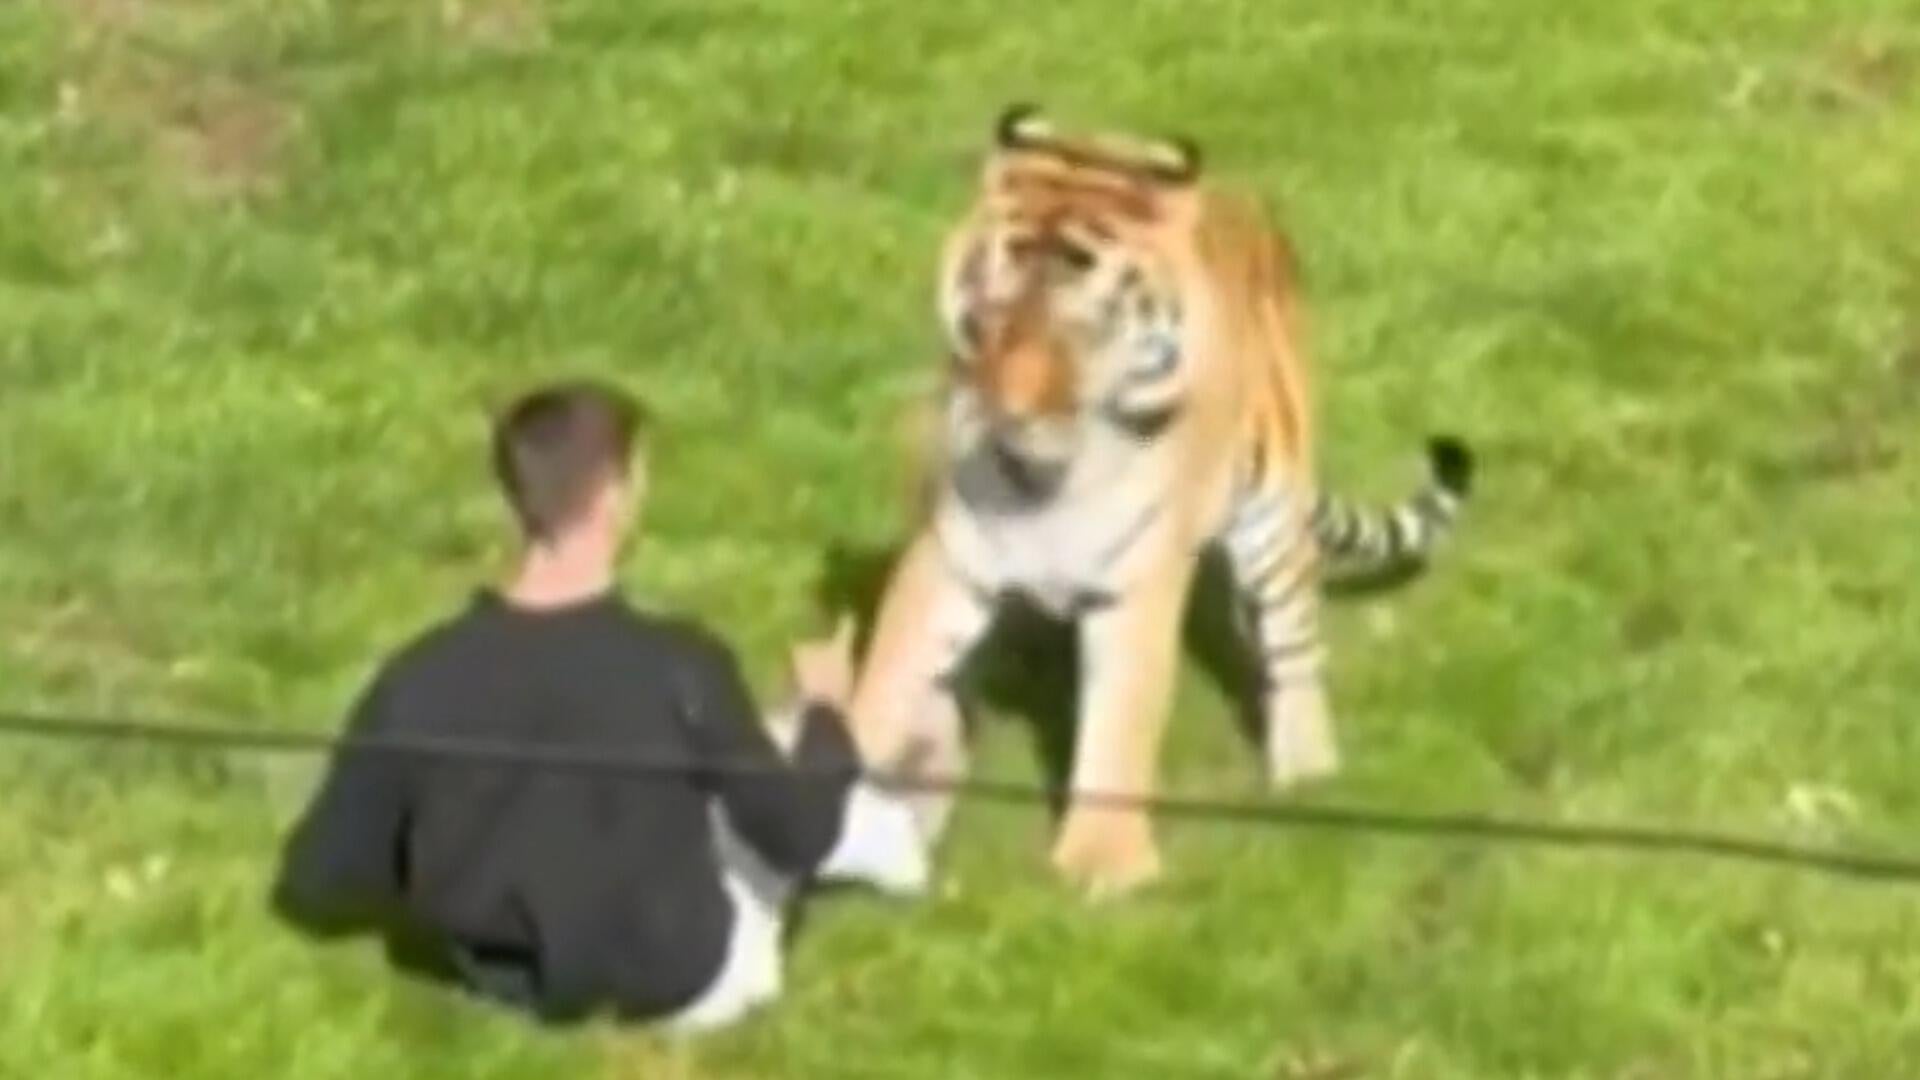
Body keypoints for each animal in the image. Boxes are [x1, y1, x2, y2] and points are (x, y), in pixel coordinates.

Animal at [847, 105, 1475, 896]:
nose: (1009, 412)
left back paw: (1306, 770)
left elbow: (1121, 721)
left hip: (1271, 518)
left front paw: (1102, 867)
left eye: (1083, 330)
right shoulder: (950, 558)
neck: (1049, 480)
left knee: (1295, 642)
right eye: (996, 314)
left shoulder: (1138, 585)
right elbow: (888, 676)